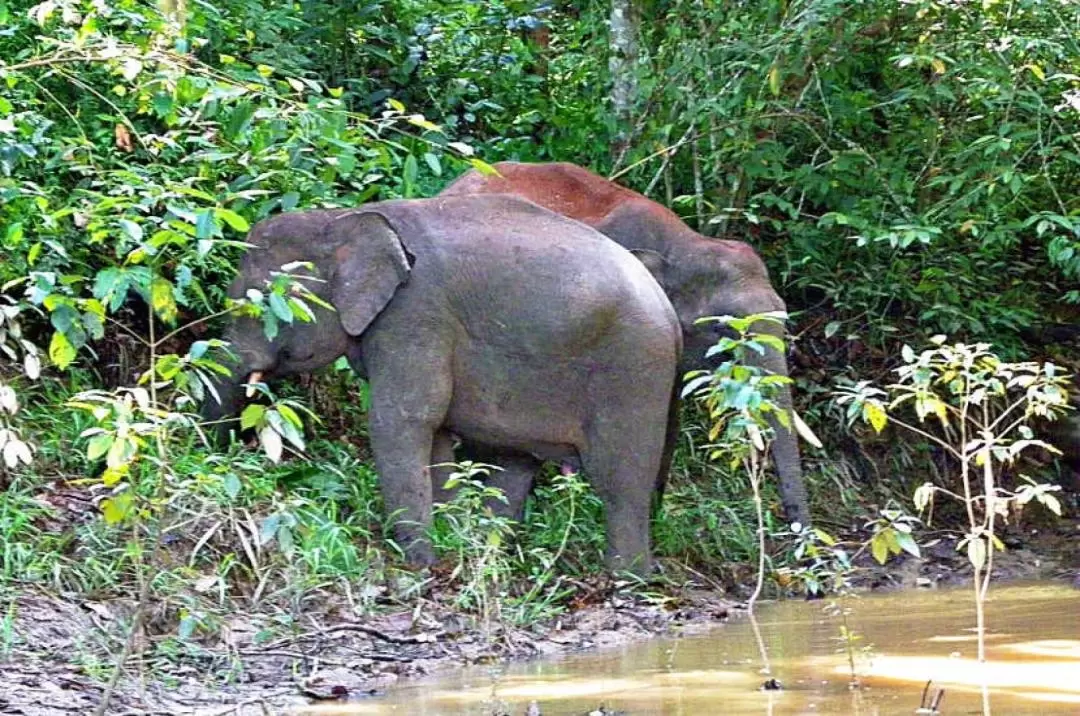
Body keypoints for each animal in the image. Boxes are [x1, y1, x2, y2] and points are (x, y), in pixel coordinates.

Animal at [200, 193, 682, 574]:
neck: (342, 216)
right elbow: (435, 436)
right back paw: (491, 555)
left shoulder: (416, 313)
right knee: (512, 466)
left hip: (634, 368)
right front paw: (446, 545)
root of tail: (670, 315)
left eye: (268, 301)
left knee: (619, 480)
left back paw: (627, 579)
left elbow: (405, 419)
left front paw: (418, 563)